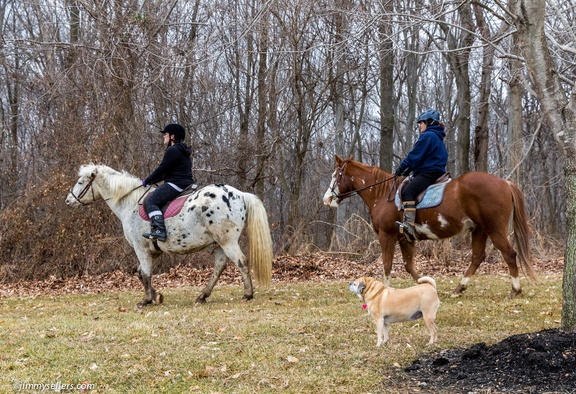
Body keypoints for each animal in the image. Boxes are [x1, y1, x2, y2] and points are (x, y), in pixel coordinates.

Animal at [66, 164, 274, 308]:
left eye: (80, 182)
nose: (68, 201)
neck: (130, 204)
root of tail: (240, 194)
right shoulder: (153, 251)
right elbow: (140, 273)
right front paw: (156, 296)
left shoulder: (141, 248)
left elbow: (145, 273)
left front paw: (147, 300)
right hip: (220, 243)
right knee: (219, 267)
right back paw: (202, 296)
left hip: (227, 240)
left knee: (241, 262)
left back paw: (247, 294)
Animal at [322, 155, 536, 298]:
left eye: (335, 175)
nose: (327, 199)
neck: (382, 194)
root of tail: (505, 183)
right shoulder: (405, 239)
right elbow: (409, 266)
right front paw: (425, 286)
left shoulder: (386, 235)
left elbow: (387, 264)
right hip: (479, 230)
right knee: (477, 257)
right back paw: (458, 289)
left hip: (494, 229)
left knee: (509, 254)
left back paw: (515, 290)